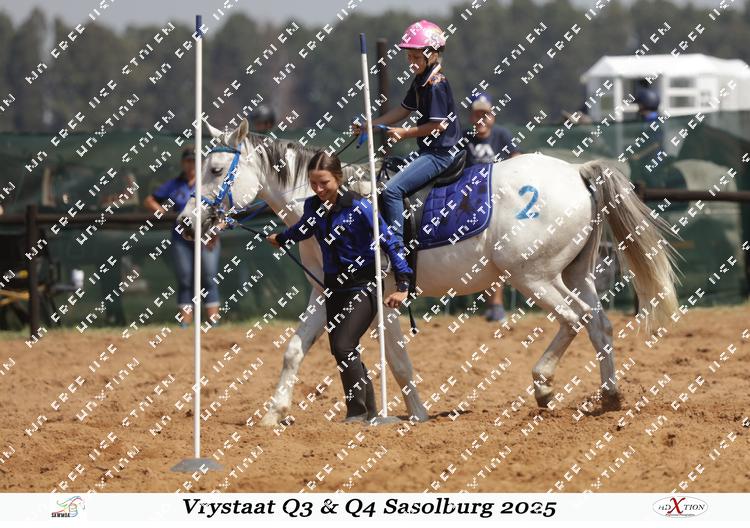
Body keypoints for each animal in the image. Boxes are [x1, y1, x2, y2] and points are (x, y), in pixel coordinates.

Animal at [176, 118, 680, 425]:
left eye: (216, 168)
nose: (185, 222)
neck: (329, 206)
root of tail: (576, 171)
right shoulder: (327, 294)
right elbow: (294, 349)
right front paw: (273, 412)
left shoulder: (381, 296)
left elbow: (397, 359)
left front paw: (415, 413)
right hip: (576, 275)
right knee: (599, 324)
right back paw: (609, 397)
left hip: (534, 277)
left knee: (574, 320)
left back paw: (543, 386)